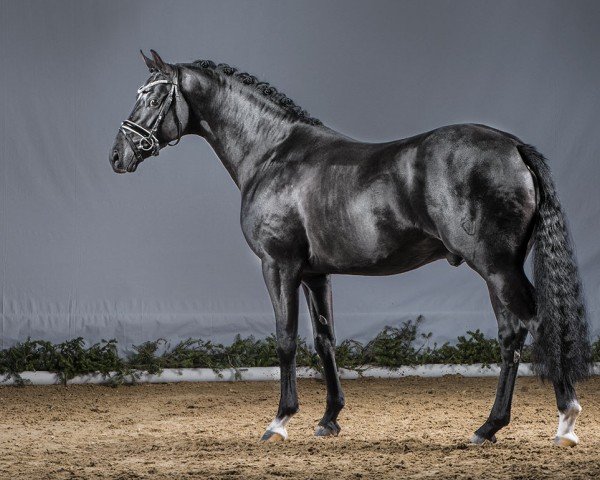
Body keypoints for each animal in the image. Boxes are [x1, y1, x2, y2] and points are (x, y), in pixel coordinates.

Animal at [110, 51, 588, 446]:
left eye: (153, 97)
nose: (118, 155)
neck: (272, 154)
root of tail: (515, 147)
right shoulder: (314, 274)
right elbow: (325, 340)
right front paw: (329, 419)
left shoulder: (278, 266)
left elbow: (285, 339)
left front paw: (279, 421)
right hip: (502, 268)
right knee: (522, 330)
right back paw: (515, 424)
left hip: (495, 267)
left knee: (528, 326)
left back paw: (538, 422)